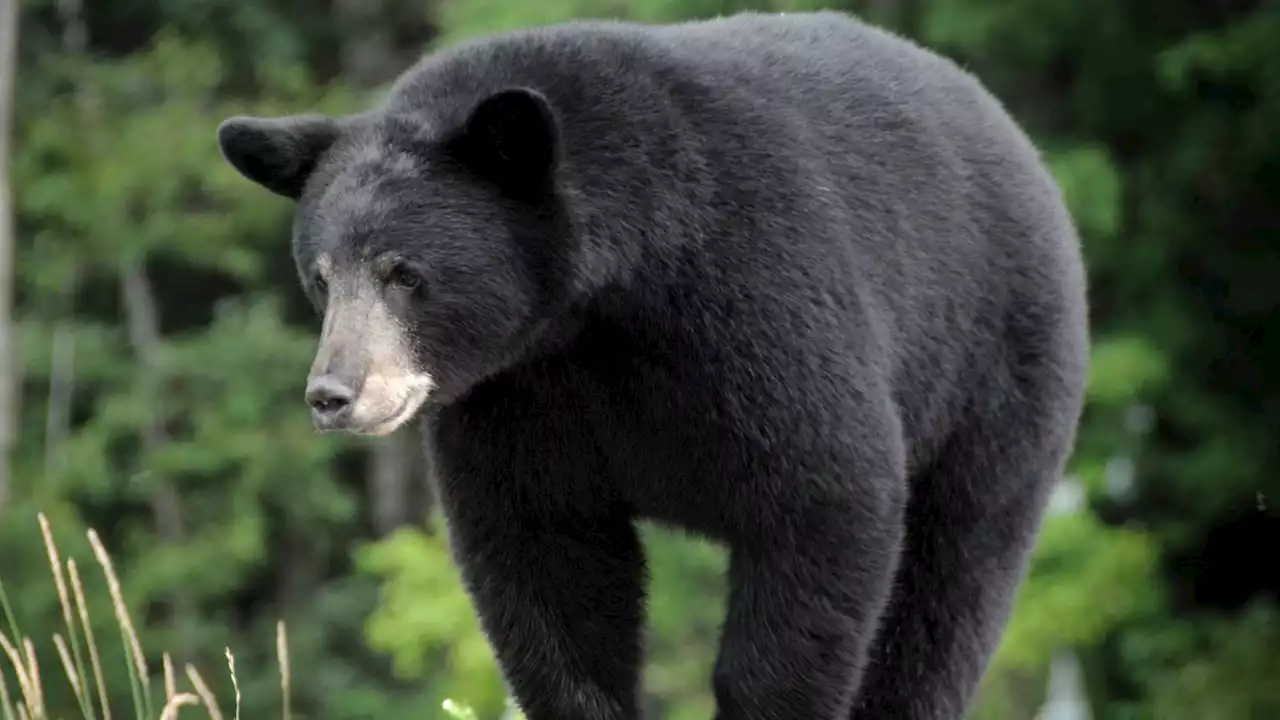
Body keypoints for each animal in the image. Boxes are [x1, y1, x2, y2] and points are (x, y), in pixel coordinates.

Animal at [217, 9, 1090, 717]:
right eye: (321, 276)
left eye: (405, 274)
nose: (333, 393)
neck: (597, 312)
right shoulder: (518, 399)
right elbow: (544, 563)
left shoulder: (760, 298)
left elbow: (826, 497)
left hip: (998, 371)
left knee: (951, 585)